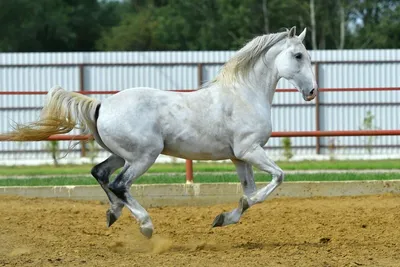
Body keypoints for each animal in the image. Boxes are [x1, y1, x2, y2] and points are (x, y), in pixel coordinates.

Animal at [3, 26, 316, 239]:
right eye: (298, 55)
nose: (312, 91)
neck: (244, 94)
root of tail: (102, 103)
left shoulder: (238, 157)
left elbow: (250, 192)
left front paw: (224, 217)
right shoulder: (249, 150)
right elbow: (276, 178)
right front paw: (227, 214)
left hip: (123, 155)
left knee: (100, 173)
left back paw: (113, 213)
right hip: (144, 156)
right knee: (119, 184)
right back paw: (145, 225)